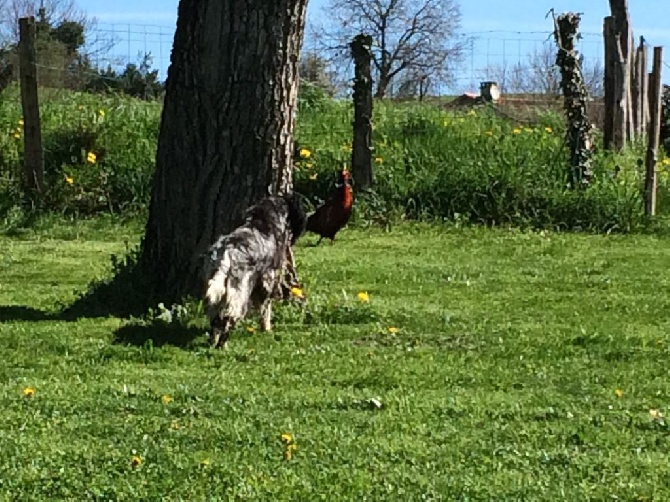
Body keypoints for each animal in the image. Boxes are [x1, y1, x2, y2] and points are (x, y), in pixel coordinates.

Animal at [203, 193, 308, 350]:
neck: (263, 221)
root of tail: (225, 253)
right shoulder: (268, 279)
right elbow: (266, 308)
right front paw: (267, 329)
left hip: (219, 293)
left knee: (215, 320)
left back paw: (213, 343)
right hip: (239, 293)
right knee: (227, 318)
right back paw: (223, 345)